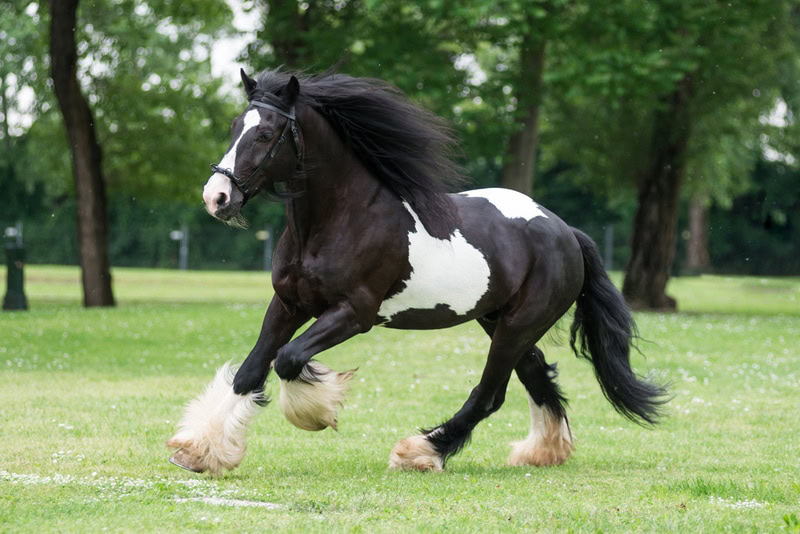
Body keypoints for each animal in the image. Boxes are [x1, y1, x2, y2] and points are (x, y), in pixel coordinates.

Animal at [166, 69, 667, 474]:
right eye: (235, 127)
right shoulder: (288, 304)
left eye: (267, 134)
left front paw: (318, 410)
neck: (341, 219)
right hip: (500, 321)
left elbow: (288, 359)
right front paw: (200, 451)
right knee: (537, 375)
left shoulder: (354, 314)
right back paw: (542, 452)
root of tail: (566, 231)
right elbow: (251, 371)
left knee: (490, 394)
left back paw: (421, 451)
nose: (217, 197)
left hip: (520, 324)